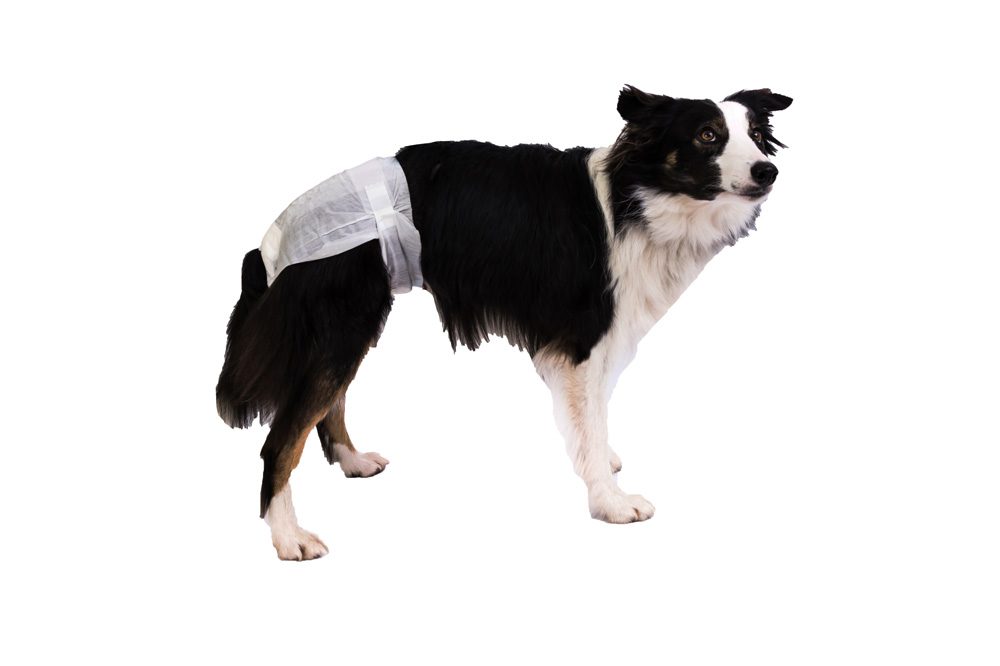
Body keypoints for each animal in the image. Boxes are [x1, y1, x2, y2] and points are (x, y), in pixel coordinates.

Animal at [216, 85, 792, 560]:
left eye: (756, 136)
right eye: (707, 135)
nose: (768, 171)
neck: (637, 197)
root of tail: (271, 240)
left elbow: (596, 413)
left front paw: (604, 463)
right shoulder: (583, 336)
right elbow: (590, 418)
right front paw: (610, 501)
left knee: (326, 406)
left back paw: (353, 461)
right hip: (342, 328)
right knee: (281, 439)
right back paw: (290, 538)